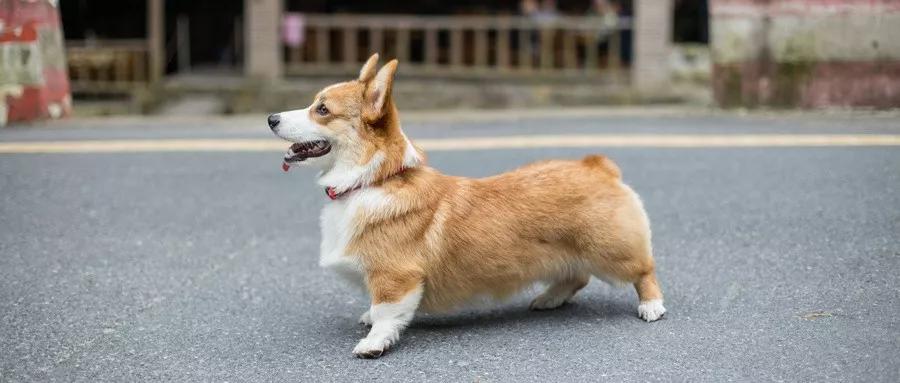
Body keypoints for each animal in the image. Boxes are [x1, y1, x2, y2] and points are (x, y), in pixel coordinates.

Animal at [264, 54, 664, 360]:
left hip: (610, 252)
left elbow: (386, 312)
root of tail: (597, 166)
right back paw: (549, 298)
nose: (270, 118)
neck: (372, 180)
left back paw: (651, 306)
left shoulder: (396, 278)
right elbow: (377, 309)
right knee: (576, 276)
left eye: (322, 110)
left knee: (644, 271)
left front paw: (373, 343)